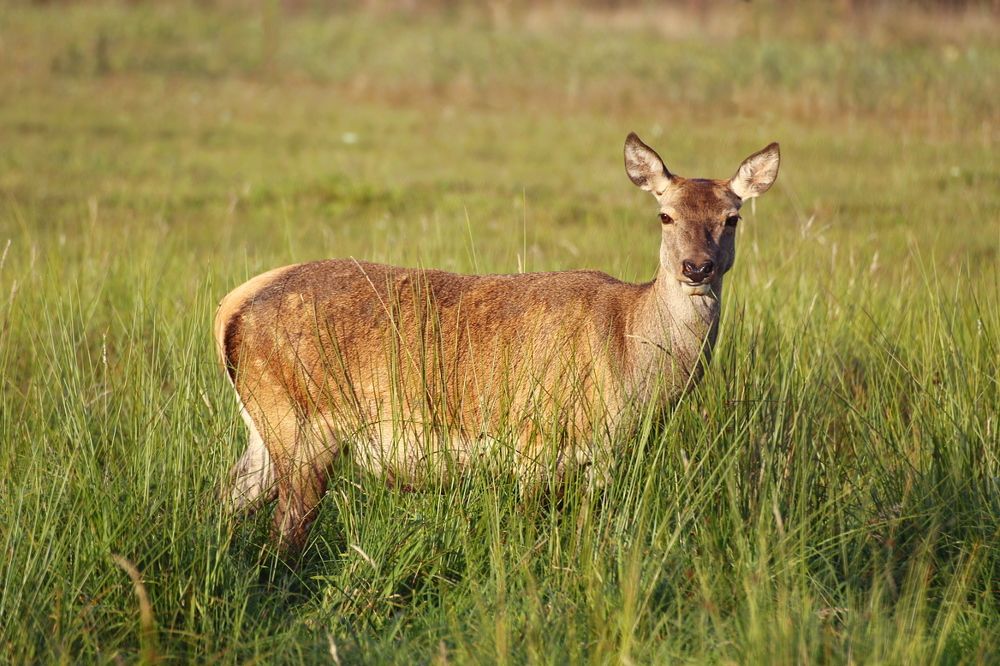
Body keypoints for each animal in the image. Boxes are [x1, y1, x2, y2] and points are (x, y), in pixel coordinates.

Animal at [213, 133, 780, 553]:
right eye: (664, 214)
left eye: (732, 217)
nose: (696, 267)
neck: (629, 356)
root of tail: (228, 310)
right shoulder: (533, 441)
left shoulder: (602, 462)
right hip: (302, 429)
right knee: (285, 531)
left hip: (265, 432)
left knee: (225, 499)